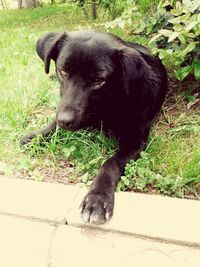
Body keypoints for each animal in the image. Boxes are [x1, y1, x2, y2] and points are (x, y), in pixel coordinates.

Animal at [21, 30, 167, 225]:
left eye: (98, 80)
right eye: (63, 71)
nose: (64, 120)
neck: (106, 106)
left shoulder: (136, 141)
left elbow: (110, 163)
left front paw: (97, 198)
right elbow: (52, 125)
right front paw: (35, 136)